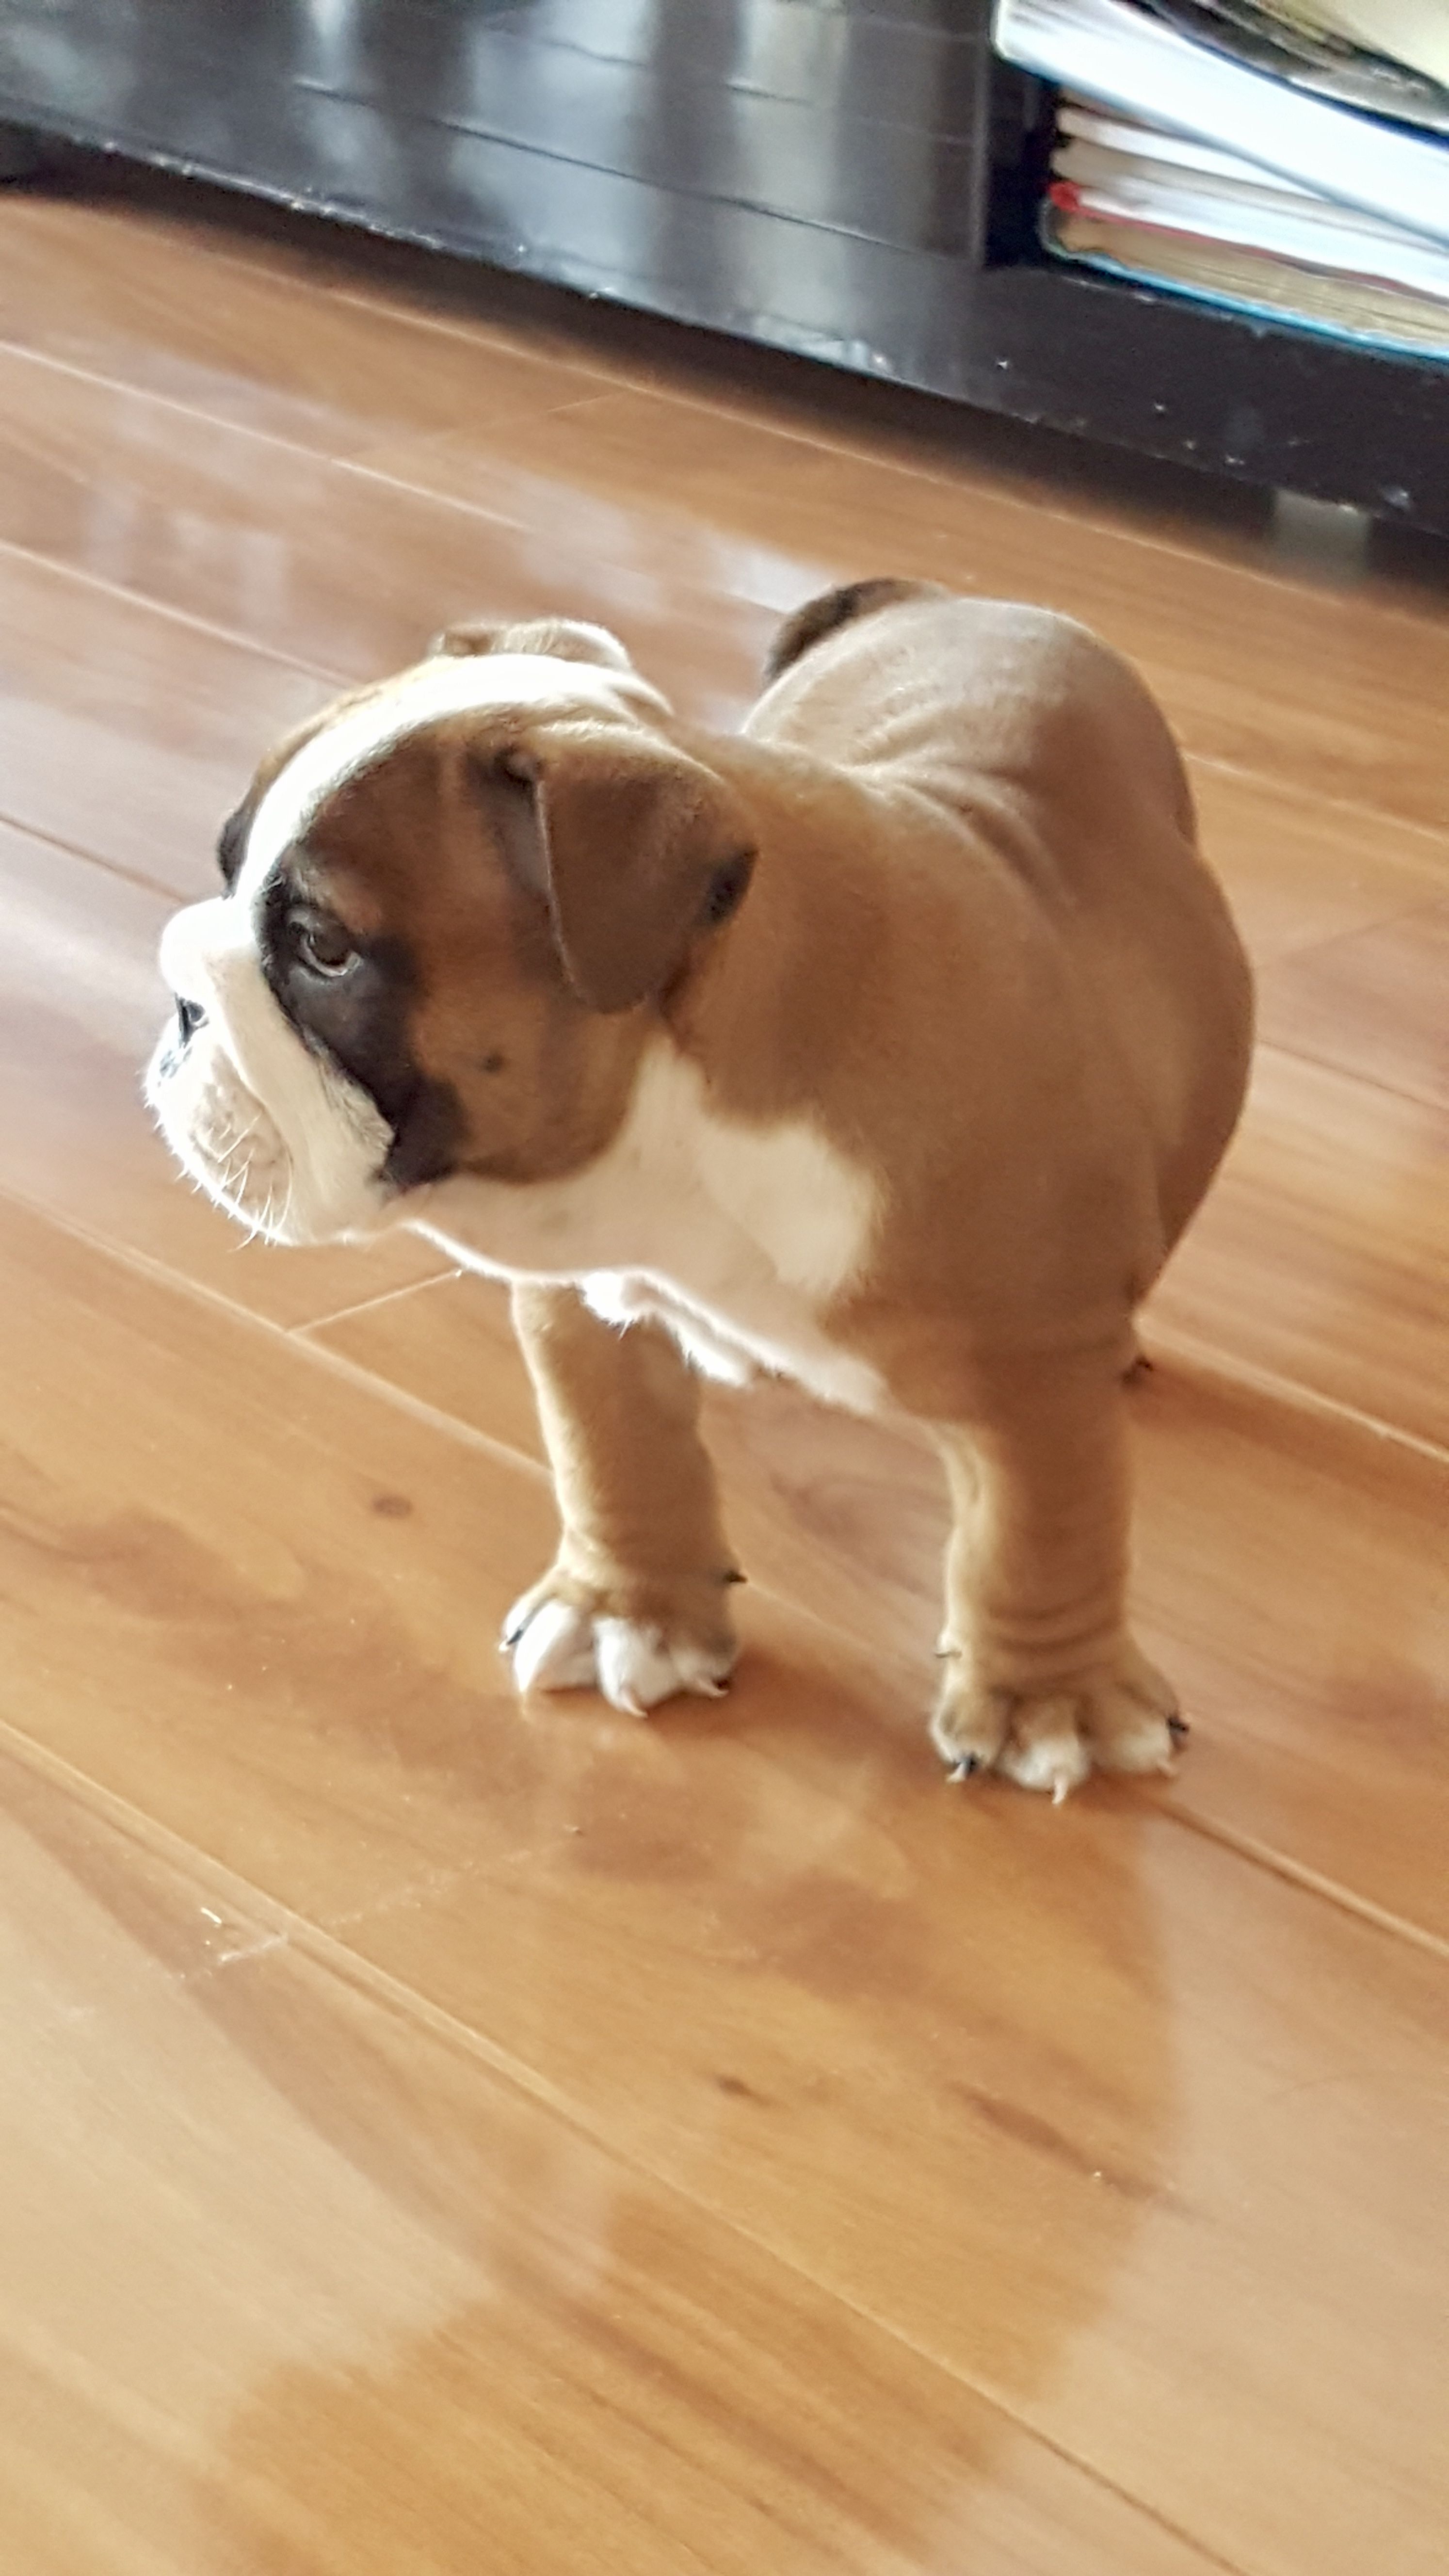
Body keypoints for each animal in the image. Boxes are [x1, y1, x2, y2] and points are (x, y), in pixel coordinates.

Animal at [146, 580, 1253, 1797]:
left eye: (324, 949)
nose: (181, 999)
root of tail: (942, 595)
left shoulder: (1034, 1371)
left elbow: (1037, 1533)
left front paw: (1046, 1700)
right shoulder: (583, 1299)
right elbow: (613, 1455)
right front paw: (626, 1610)